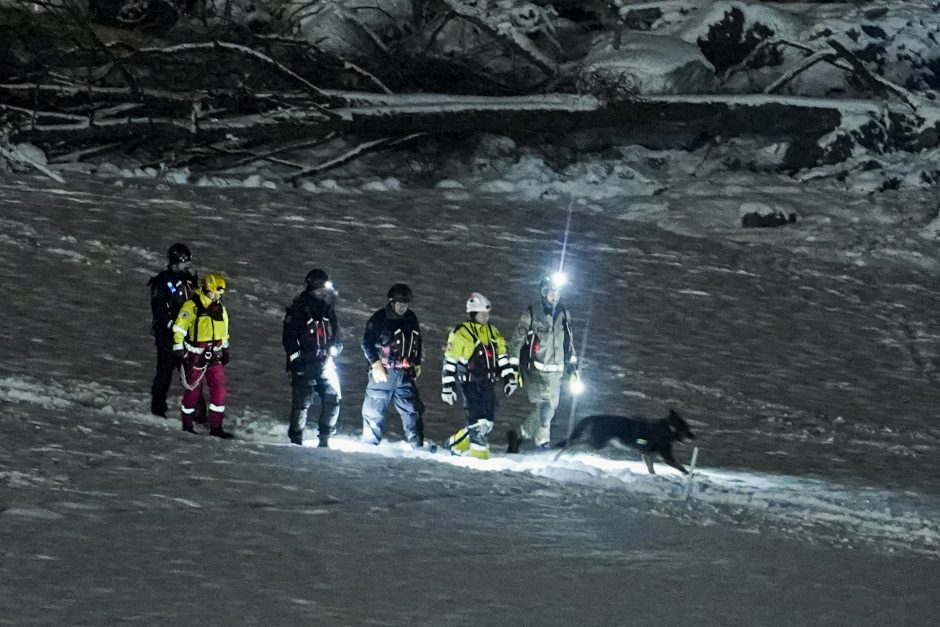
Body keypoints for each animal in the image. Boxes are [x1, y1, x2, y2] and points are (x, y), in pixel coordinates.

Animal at [556, 410, 692, 474]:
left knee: (573, 444)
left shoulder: (647, 454)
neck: (669, 428)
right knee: (573, 445)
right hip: (598, 444)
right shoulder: (666, 456)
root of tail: (594, 417)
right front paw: (689, 474)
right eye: (687, 429)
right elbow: (681, 467)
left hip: (597, 443)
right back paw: (560, 456)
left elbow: (651, 469)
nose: (694, 436)